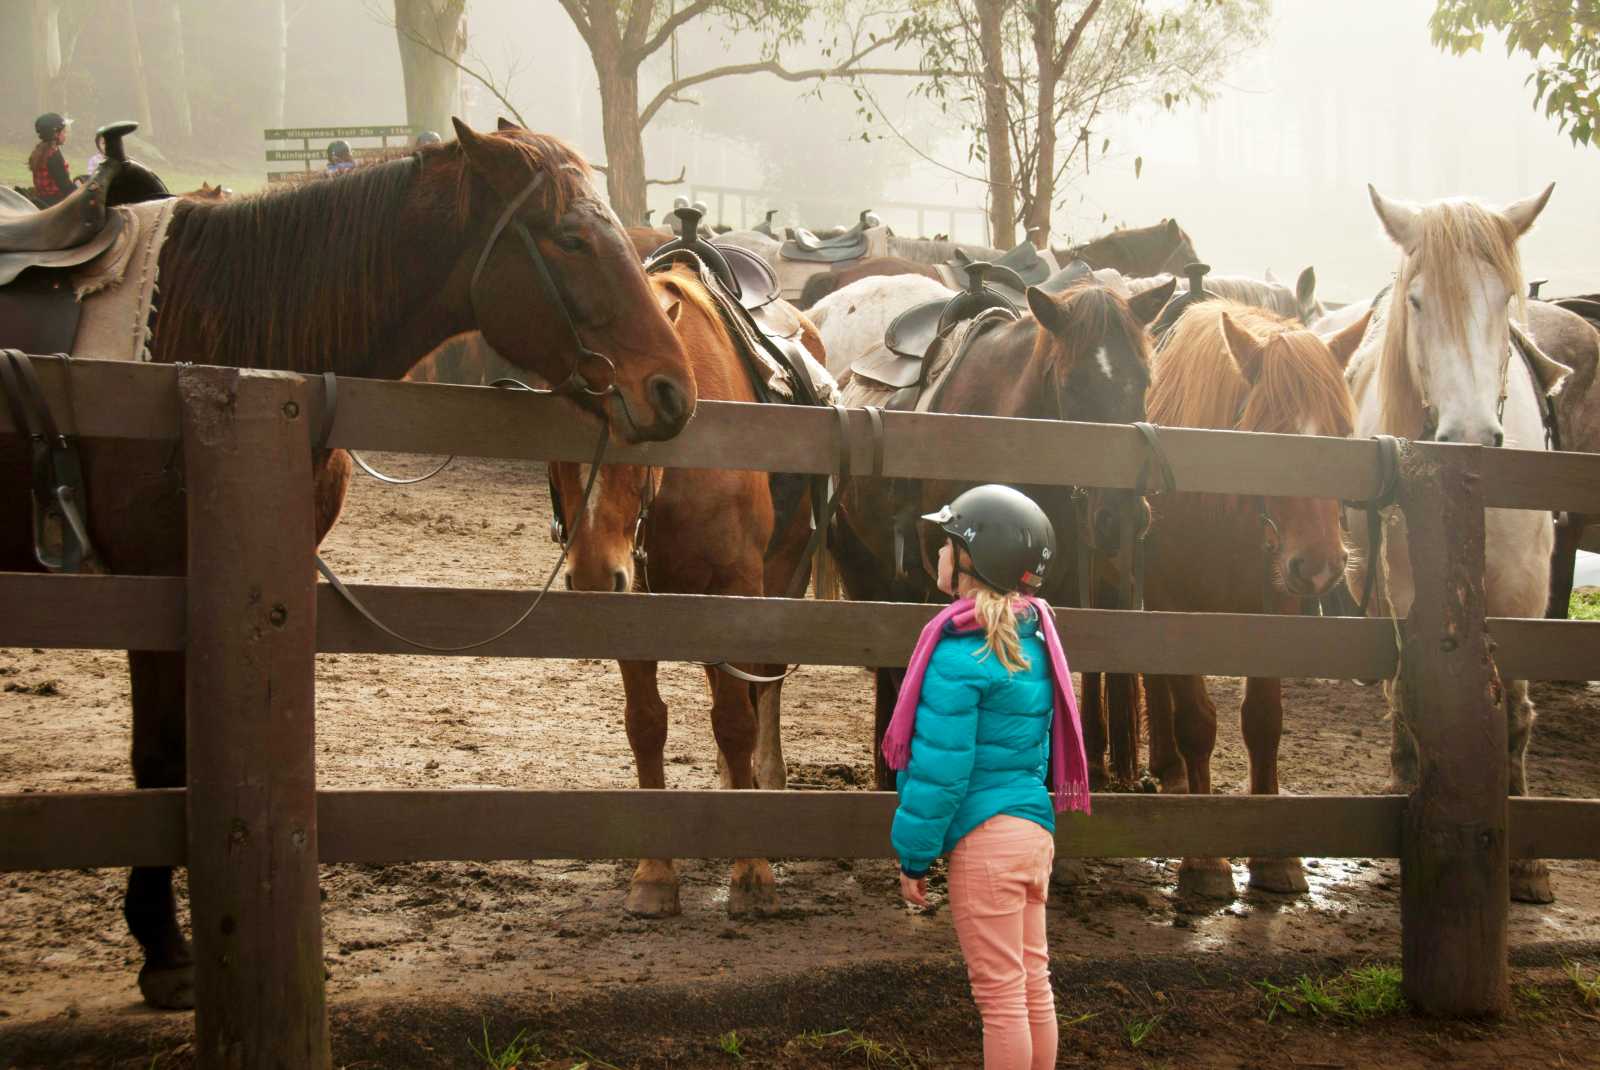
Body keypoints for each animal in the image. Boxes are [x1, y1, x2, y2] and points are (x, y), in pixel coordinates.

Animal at [1, 119, 700, 1010]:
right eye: (571, 238)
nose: (673, 391)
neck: (215, 344)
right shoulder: (154, 584)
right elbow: (158, 760)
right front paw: (163, 949)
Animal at [550, 260, 825, 921]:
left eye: (643, 429)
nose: (592, 576)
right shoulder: (639, 601)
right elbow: (646, 724)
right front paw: (654, 874)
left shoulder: (737, 591)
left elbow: (736, 721)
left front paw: (752, 871)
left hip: (781, 580)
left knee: (762, 689)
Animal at [1132, 302, 1369, 902]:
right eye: (1268, 436)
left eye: (1344, 433)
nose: (1320, 565)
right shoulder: (1176, 612)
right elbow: (1197, 722)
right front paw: (1205, 861)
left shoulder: (1274, 615)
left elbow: (1264, 721)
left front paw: (1274, 858)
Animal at [1344, 183, 1568, 902]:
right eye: (1418, 301)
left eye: (1504, 296)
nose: (1470, 433)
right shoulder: (1413, 586)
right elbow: (1416, 690)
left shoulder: (1526, 591)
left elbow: (1516, 711)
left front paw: (1527, 863)